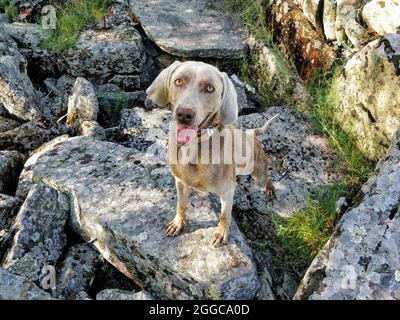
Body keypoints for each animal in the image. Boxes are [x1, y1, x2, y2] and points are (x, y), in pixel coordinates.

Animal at [147, 62, 278, 248]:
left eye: (210, 88)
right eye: (178, 81)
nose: (184, 114)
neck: (194, 148)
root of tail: (251, 133)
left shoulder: (228, 191)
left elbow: (224, 216)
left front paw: (221, 233)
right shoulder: (180, 182)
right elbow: (181, 205)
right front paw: (178, 223)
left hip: (256, 173)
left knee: (267, 177)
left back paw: (269, 189)